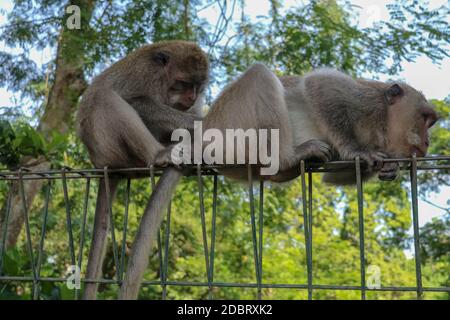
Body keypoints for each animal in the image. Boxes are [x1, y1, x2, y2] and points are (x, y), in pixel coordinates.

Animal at [77, 40, 209, 300]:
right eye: (183, 83)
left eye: (198, 86)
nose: (192, 97)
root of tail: (100, 164)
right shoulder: (146, 74)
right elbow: (138, 101)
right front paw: (197, 124)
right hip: (110, 148)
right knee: (104, 97)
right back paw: (159, 154)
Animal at [118, 63, 438, 300]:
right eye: (425, 118)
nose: (427, 141)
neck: (381, 125)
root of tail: (202, 134)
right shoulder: (364, 101)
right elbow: (322, 87)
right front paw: (357, 151)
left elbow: (335, 175)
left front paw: (390, 167)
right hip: (231, 128)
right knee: (260, 75)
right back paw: (289, 157)